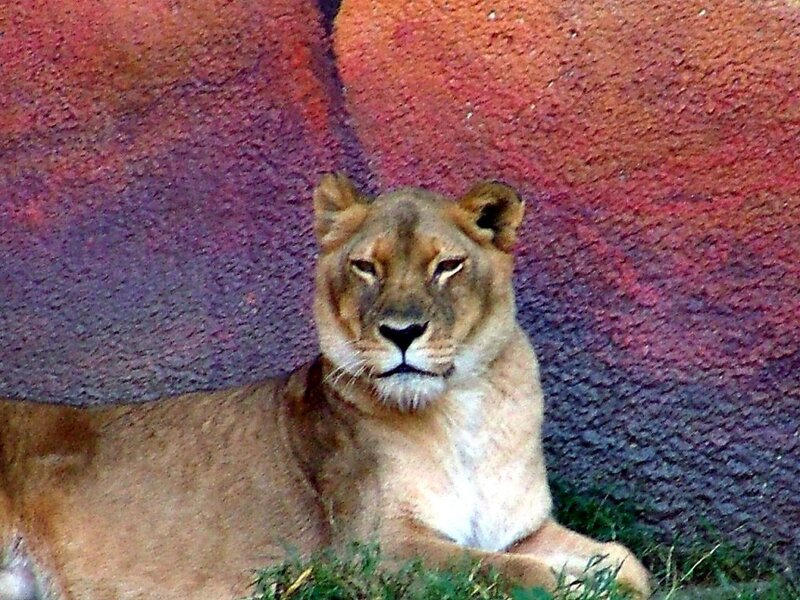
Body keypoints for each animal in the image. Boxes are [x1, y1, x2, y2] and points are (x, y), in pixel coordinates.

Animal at [0, 174, 651, 600]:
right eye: (366, 267)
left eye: (447, 266)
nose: (402, 332)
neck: (464, 407)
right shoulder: (372, 552)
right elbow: (497, 571)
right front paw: (577, 582)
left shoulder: (523, 529)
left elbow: (628, 561)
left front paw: (604, 573)